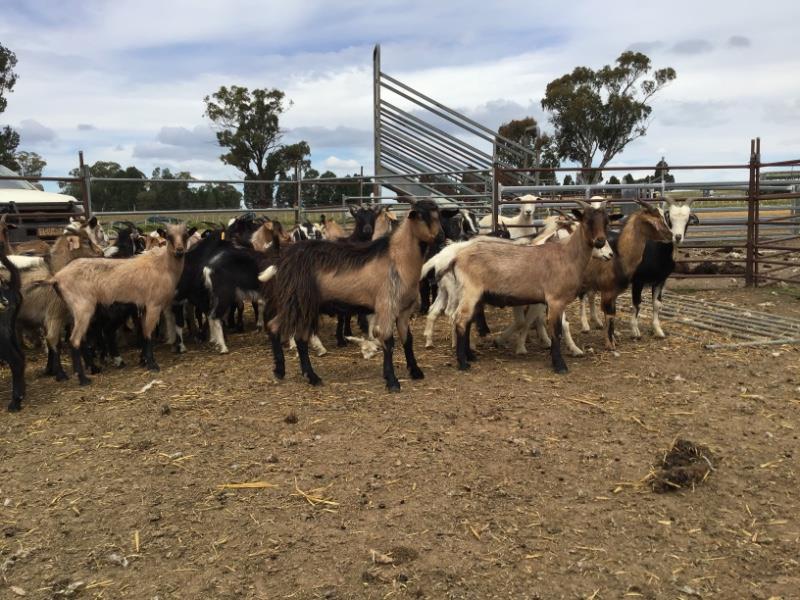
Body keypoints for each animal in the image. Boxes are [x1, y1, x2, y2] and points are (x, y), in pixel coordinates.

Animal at [48, 221, 189, 384]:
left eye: (185, 235)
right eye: (169, 237)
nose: (179, 250)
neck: (162, 265)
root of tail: (57, 277)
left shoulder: (143, 307)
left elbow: (144, 333)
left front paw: (144, 361)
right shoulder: (153, 305)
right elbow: (149, 334)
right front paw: (152, 365)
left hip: (74, 311)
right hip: (83, 308)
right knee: (74, 340)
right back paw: (84, 379)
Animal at [268, 199, 444, 392]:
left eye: (438, 214)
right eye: (421, 216)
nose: (441, 237)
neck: (398, 259)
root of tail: (284, 259)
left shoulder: (404, 310)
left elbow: (407, 339)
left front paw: (415, 371)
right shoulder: (386, 306)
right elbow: (388, 341)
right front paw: (392, 381)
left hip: (301, 304)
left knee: (286, 332)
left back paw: (292, 373)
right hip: (298, 302)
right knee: (284, 330)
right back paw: (299, 374)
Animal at [424, 200, 612, 370]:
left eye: (606, 222)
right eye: (587, 221)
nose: (601, 243)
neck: (567, 255)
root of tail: (456, 256)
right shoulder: (555, 300)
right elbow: (556, 331)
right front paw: (559, 365)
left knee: (464, 319)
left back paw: (469, 355)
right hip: (470, 291)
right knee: (460, 320)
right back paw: (463, 363)